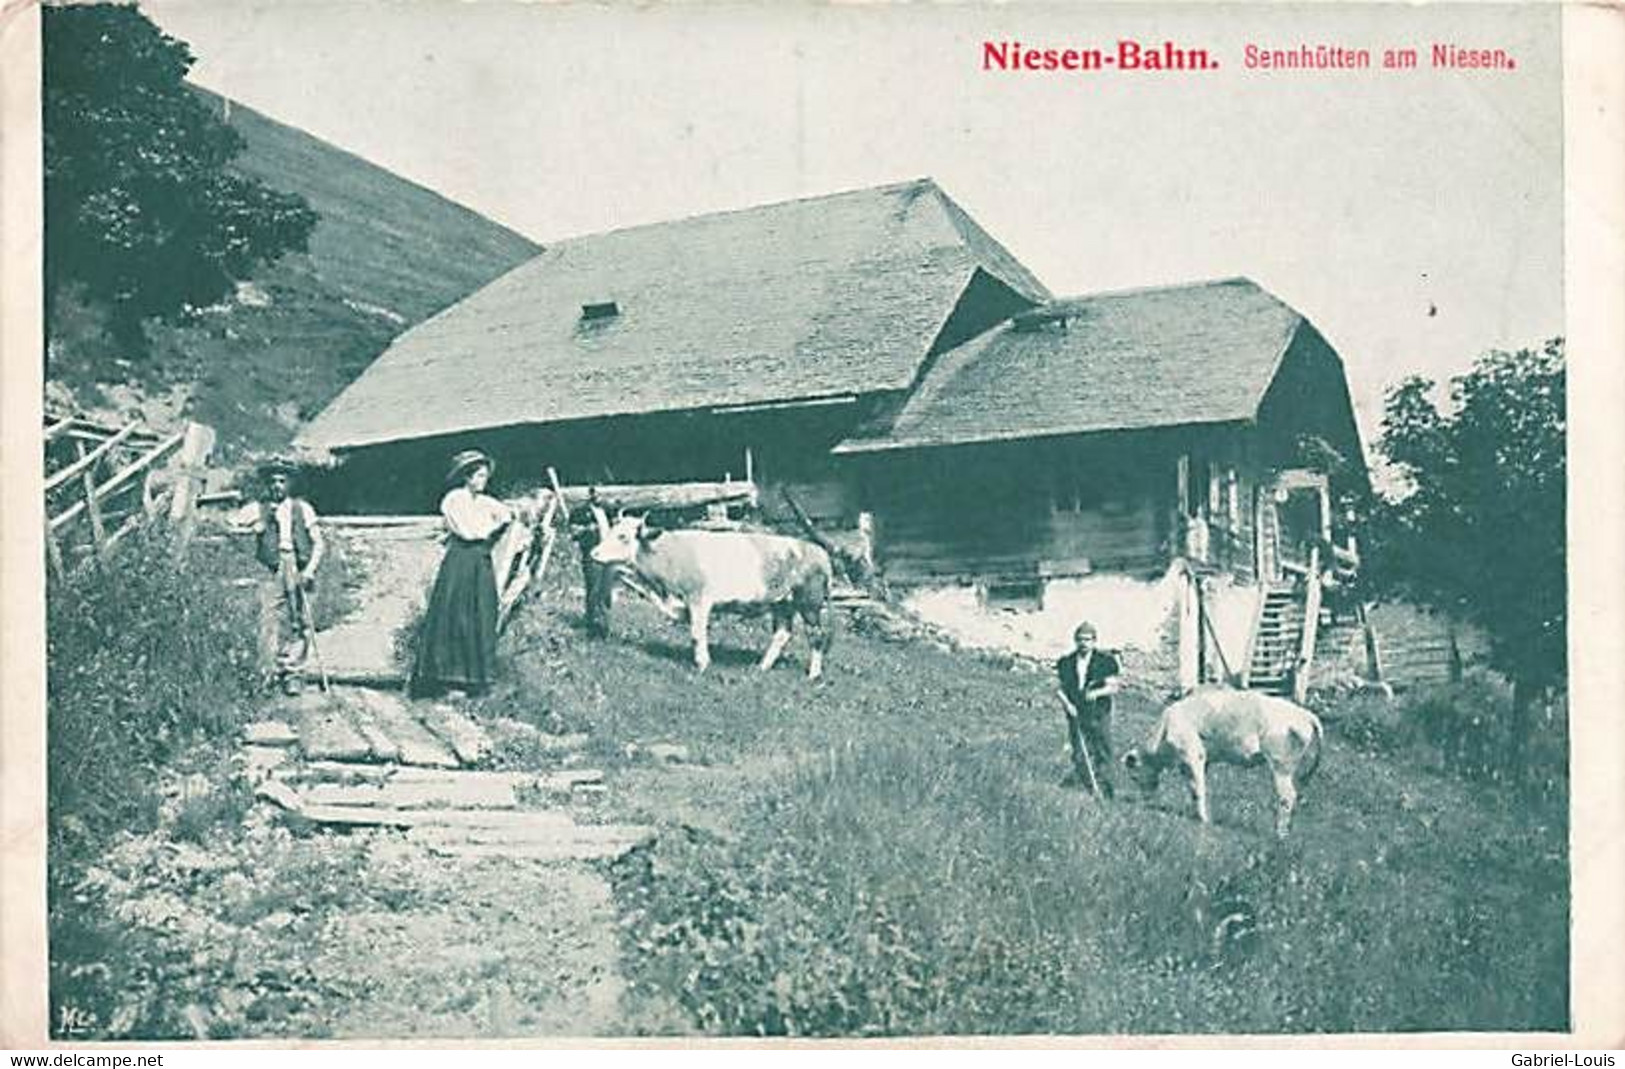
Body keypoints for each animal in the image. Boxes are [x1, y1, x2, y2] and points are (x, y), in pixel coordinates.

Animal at [591, 513, 832, 675]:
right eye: (611, 532)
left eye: (623, 536)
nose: (594, 553)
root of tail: (817, 551)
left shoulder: (698, 600)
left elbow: (697, 634)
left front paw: (702, 665)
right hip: (782, 604)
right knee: (782, 634)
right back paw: (761, 667)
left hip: (809, 604)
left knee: (817, 636)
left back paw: (813, 674)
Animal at [1124, 685, 1326, 838]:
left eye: (1133, 776)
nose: (1145, 800)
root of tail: (1306, 715)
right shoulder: (1198, 762)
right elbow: (1195, 786)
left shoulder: (1193, 755)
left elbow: (1198, 789)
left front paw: (1203, 821)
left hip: (1281, 765)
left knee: (1287, 796)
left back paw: (1280, 833)